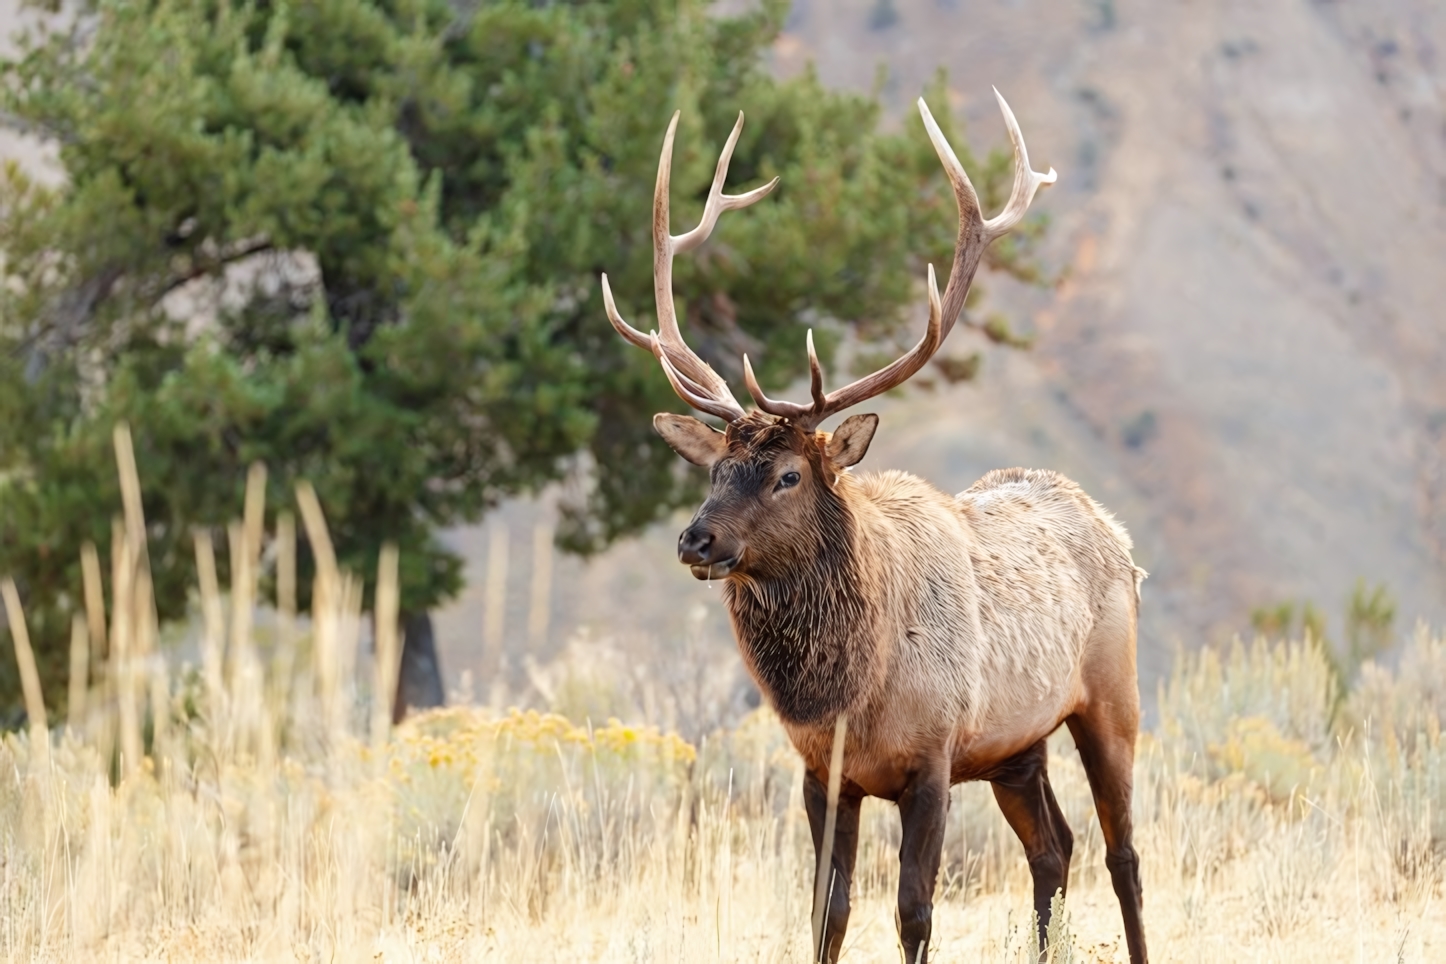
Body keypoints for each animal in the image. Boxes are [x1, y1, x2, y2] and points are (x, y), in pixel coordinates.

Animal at [598, 92, 1151, 964]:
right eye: (714, 469)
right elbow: (828, 912)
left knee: (1122, 855)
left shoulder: (932, 759)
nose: (695, 540)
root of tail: (1113, 531)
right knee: (1054, 850)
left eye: (788, 475)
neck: (850, 696)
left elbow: (913, 913)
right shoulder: (821, 775)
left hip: (1110, 699)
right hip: (1015, 748)